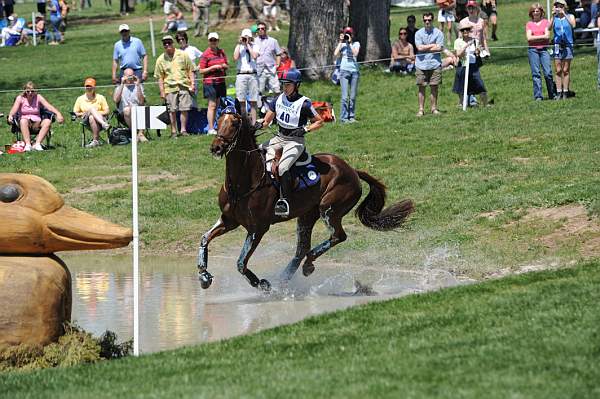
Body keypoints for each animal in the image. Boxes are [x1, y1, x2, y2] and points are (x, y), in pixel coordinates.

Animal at [196, 111, 412, 292]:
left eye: (233, 124)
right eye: (218, 121)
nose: (215, 147)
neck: (244, 181)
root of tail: (352, 170)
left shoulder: (258, 229)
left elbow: (241, 263)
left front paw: (263, 284)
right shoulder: (229, 220)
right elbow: (205, 238)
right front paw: (204, 276)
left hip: (329, 209)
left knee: (337, 237)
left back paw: (306, 266)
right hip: (307, 215)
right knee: (301, 249)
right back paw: (284, 279)